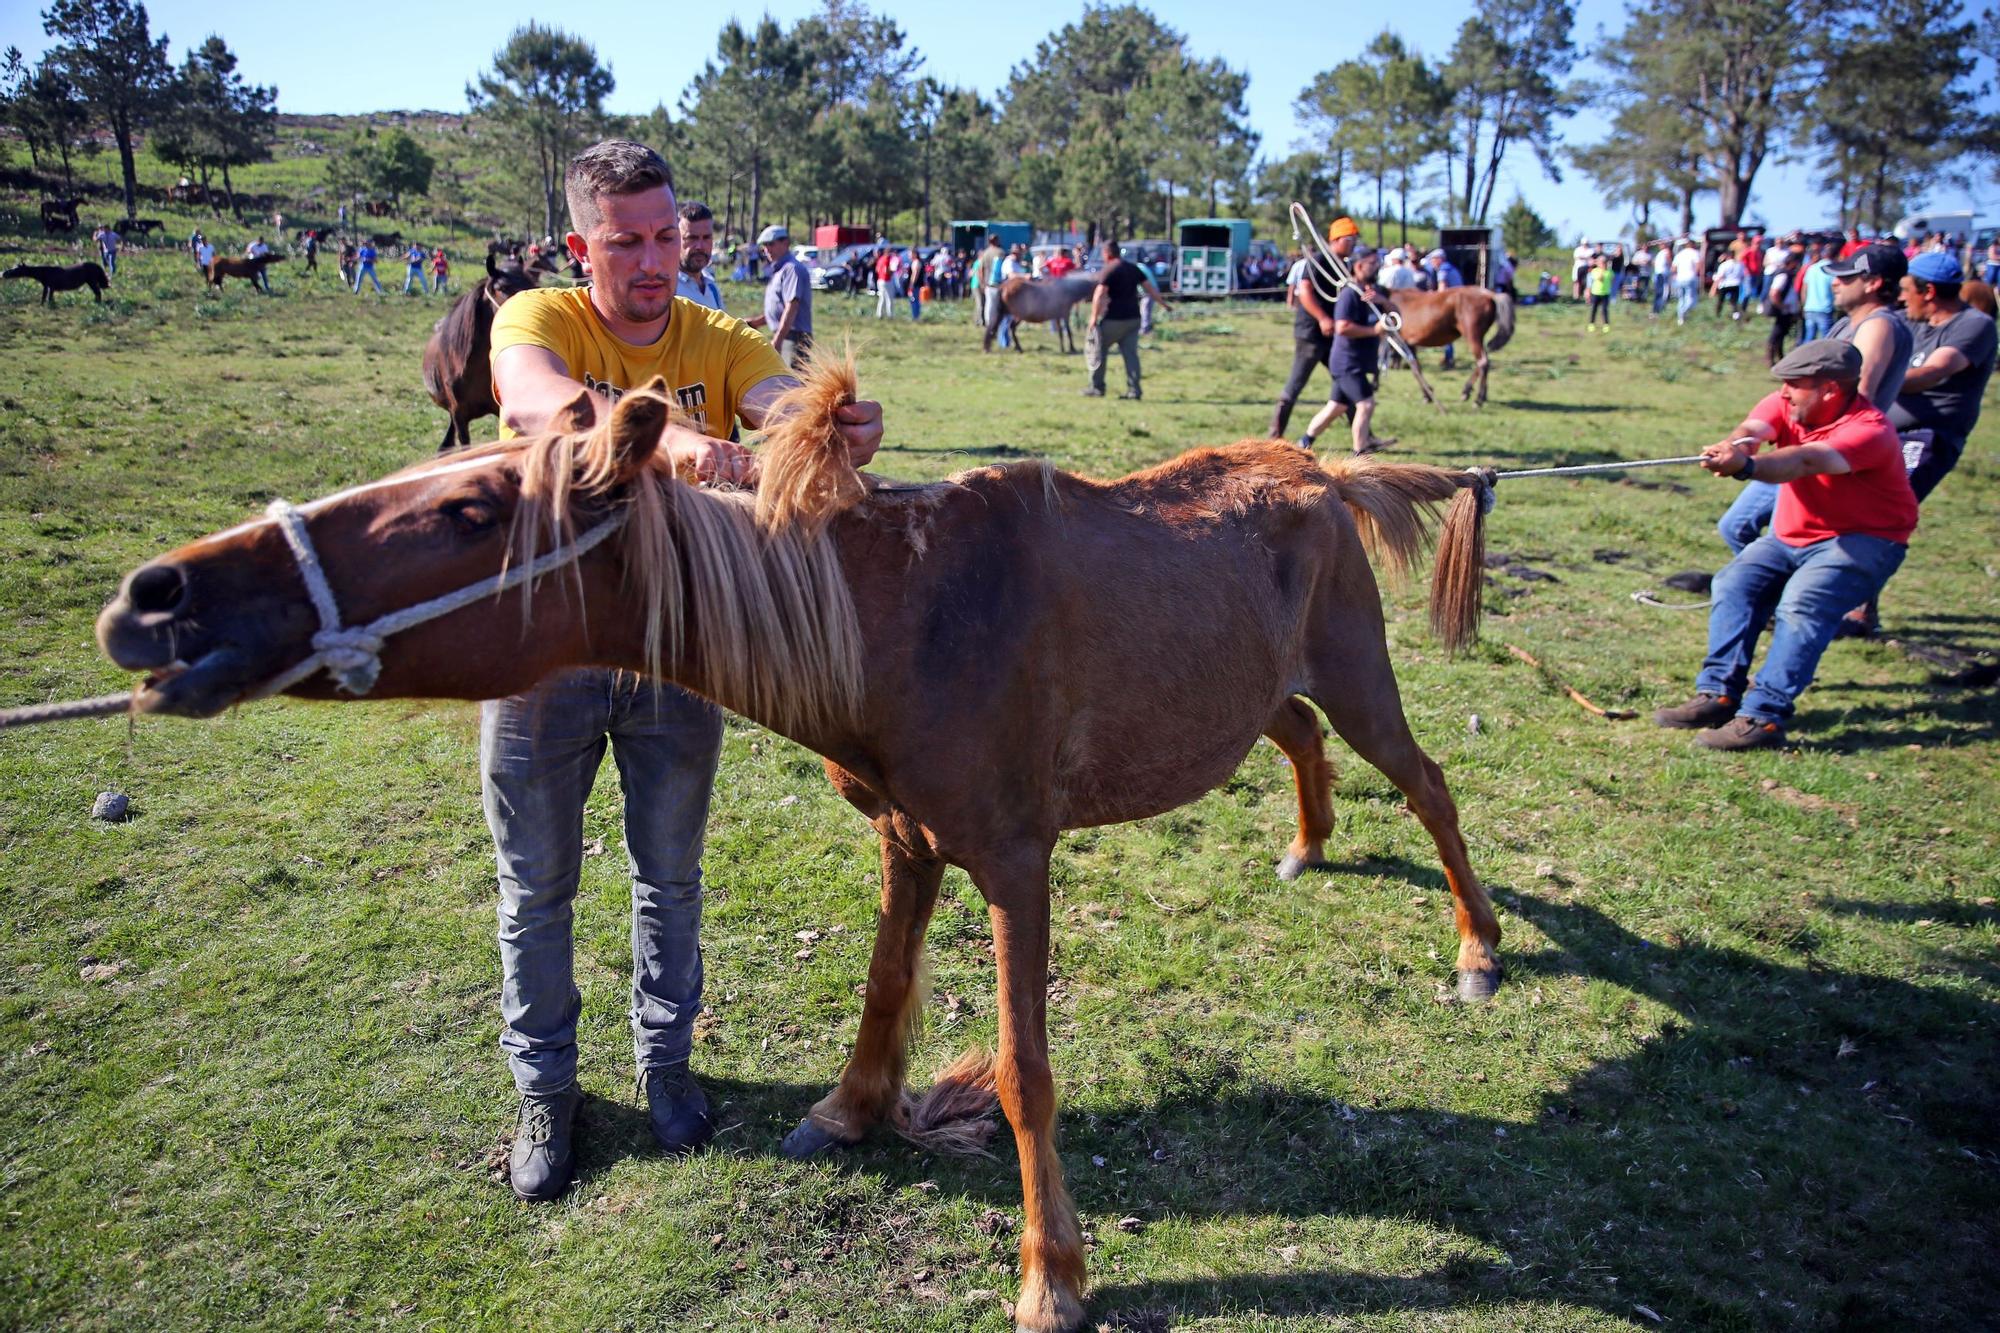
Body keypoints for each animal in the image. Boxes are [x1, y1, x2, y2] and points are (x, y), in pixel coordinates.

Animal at [94, 356, 1504, 1328]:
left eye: (471, 510)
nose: (156, 597)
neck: (900, 622)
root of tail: (1323, 475)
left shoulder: (1013, 861)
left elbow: (1024, 1071)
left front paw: (1051, 1274)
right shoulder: (910, 839)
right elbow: (883, 989)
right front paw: (851, 1111)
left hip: (1359, 672)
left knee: (1429, 786)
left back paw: (1478, 949)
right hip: (1267, 690)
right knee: (1297, 739)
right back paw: (1308, 845)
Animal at [1376, 282, 1512, 402]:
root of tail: (1489, 295)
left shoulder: (1396, 340)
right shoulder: (1408, 343)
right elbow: (1416, 368)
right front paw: (1427, 394)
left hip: (1472, 336)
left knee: (1483, 362)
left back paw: (1478, 399)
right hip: (1479, 337)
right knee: (1483, 362)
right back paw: (1468, 391)